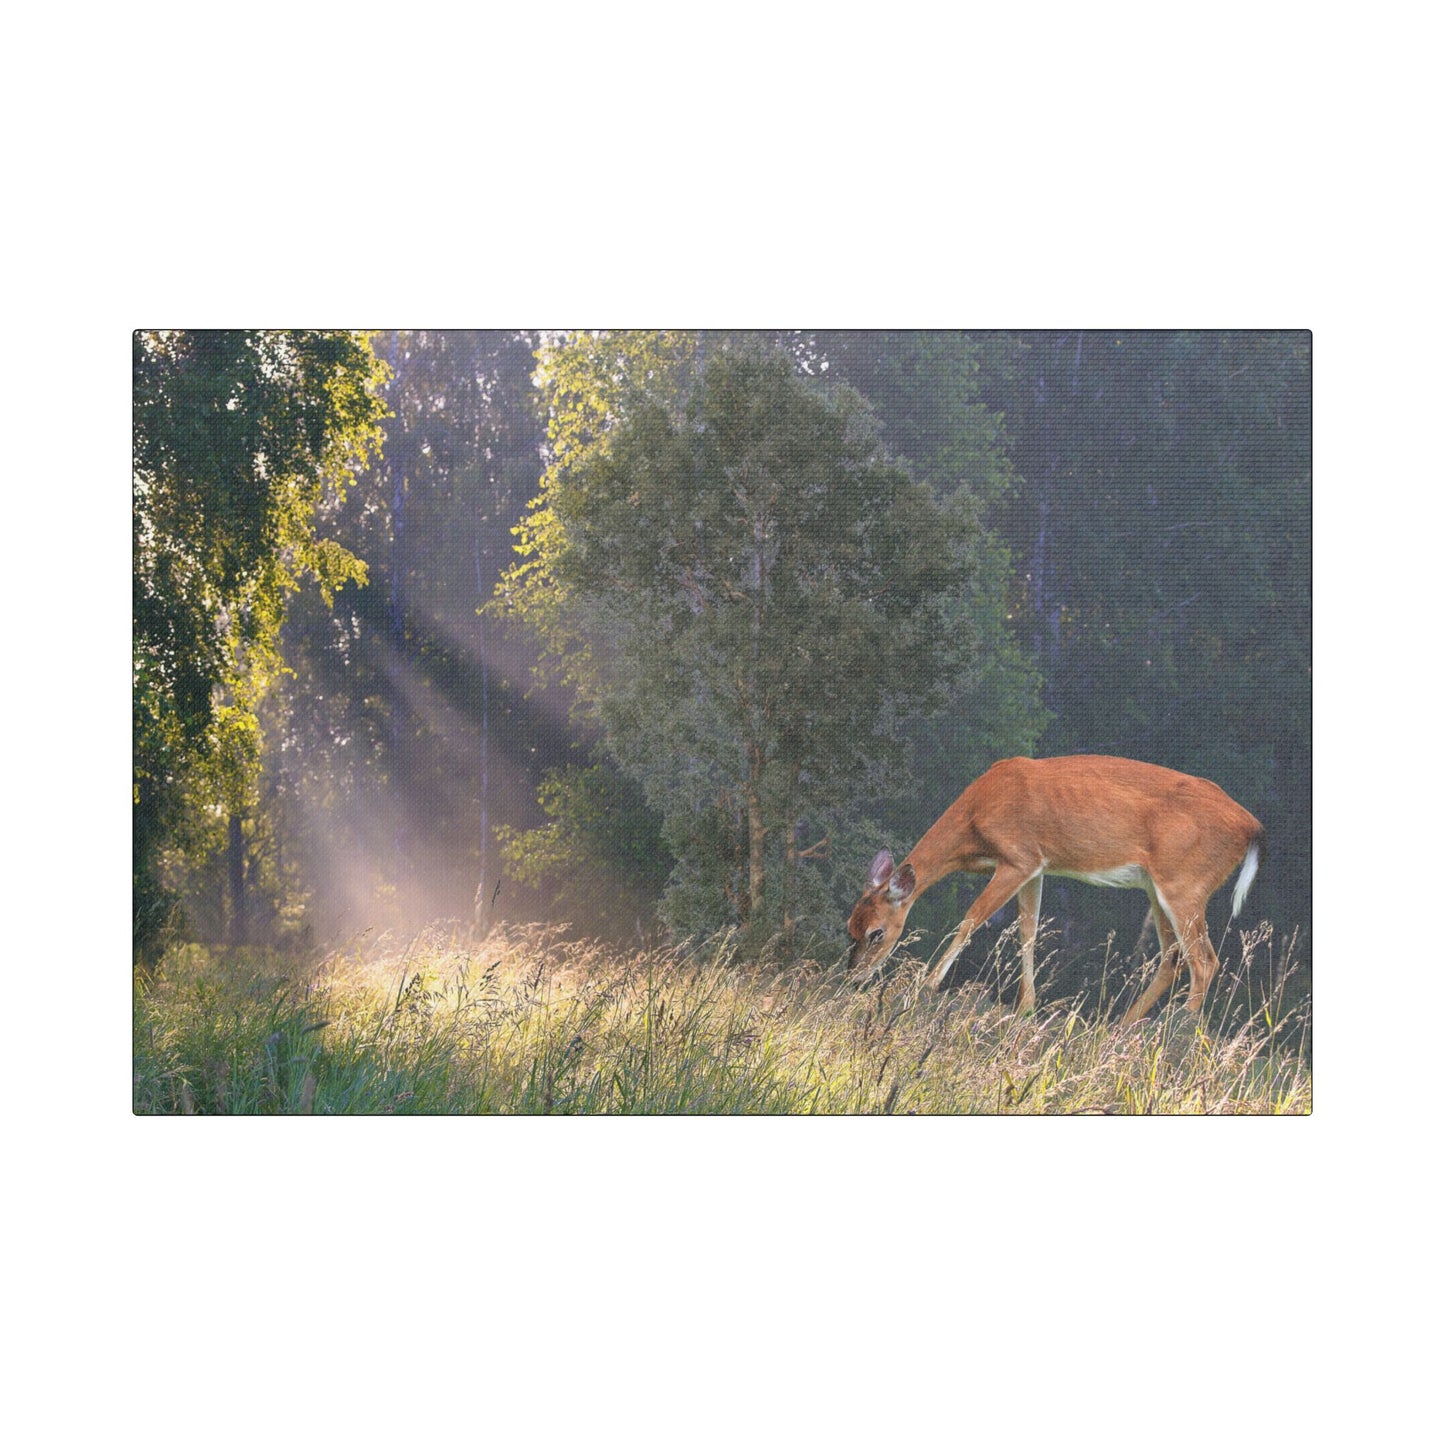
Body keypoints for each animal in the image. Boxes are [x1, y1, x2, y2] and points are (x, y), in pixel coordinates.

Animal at [845, 755, 1264, 1024]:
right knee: (1173, 957)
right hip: (1159, 887)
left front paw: (925, 985)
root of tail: (1252, 828)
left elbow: (971, 921)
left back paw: (1175, 1030)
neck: (975, 819)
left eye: (877, 932)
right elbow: (1028, 932)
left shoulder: (1019, 857)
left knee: (1204, 960)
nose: (854, 978)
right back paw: (1120, 1030)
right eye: (849, 928)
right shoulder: (1036, 867)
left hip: (1185, 884)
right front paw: (1026, 1007)